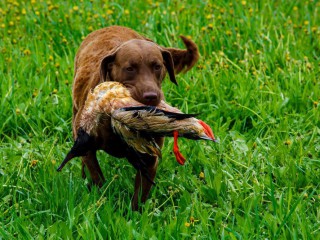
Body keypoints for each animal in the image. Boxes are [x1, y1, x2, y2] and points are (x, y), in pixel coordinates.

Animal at [71, 25, 199, 210]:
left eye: (157, 66)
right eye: (130, 68)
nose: (152, 96)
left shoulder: (149, 160)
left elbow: (139, 197)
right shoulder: (87, 146)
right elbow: (98, 178)